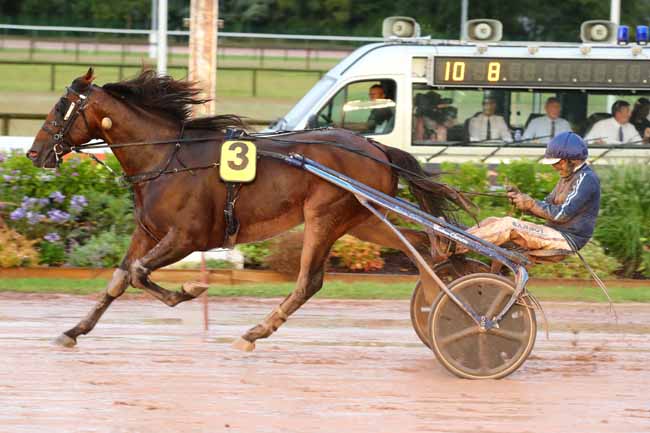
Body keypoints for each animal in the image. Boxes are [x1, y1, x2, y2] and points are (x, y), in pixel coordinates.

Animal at [26, 68, 470, 352]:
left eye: (62, 106)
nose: (34, 153)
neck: (167, 157)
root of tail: (375, 147)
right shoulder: (148, 232)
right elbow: (119, 280)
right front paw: (73, 330)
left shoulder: (187, 237)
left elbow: (138, 273)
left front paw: (188, 290)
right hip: (362, 220)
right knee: (423, 246)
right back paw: (445, 294)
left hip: (325, 216)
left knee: (308, 282)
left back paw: (255, 332)